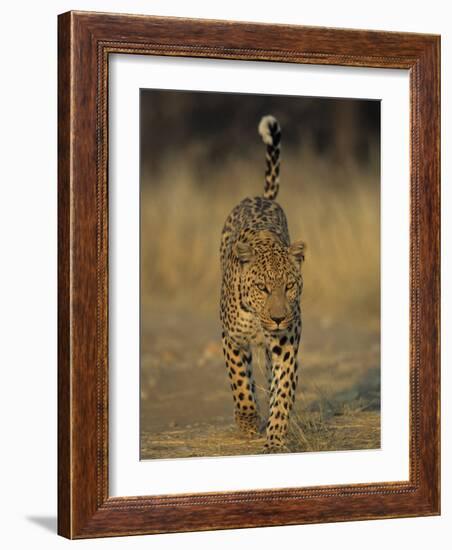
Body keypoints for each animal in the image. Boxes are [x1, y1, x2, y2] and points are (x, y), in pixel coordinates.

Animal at [218, 115, 304, 452]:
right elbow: (240, 381)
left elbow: (283, 392)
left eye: (289, 286)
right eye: (262, 288)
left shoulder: (286, 344)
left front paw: (276, 437)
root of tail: (261, 198)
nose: (278, 318)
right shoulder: (231, 337)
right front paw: (247, 419)